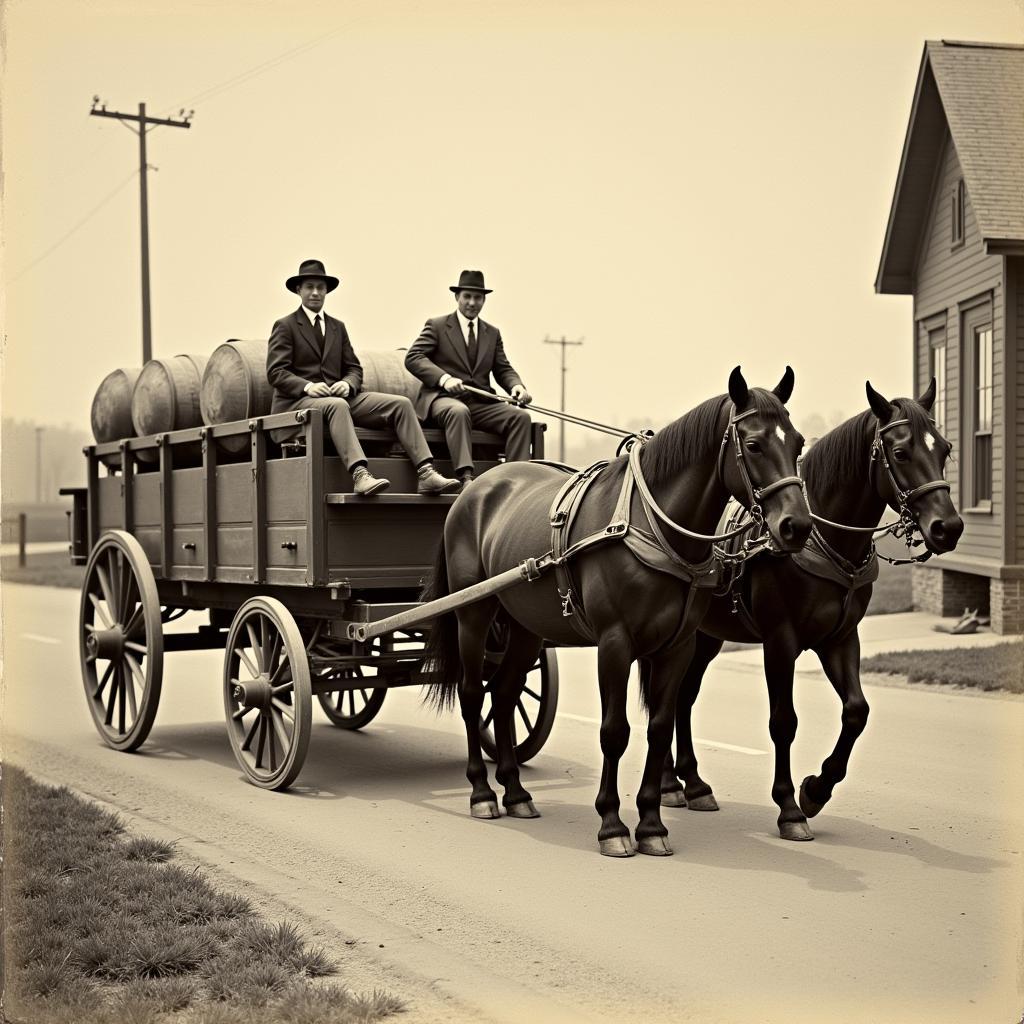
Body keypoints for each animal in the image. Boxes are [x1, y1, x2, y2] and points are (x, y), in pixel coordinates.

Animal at [421, 368, 806, 856]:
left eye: (798, 443)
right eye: (753, 444)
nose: (797, 526)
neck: (653, 525)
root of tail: (473, 489)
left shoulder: (677, 646)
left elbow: (659, 727)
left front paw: (652, 824)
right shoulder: (615, 643)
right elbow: (614, 731)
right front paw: (611, 823)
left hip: (526, 627)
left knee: (504, 695)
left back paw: (516, 791)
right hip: (474, 614)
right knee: (473, 696)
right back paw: (482, 792)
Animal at [659, 378, 962, 839]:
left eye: (944, 449)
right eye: (900, 452)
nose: (949, 527)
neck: (822, 535)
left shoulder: (840, 638)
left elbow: (856, 711)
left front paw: (816, 790)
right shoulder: (779, 641)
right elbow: (784, 721)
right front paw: (789, 807)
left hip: (706, 636)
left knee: (683, 696)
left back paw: (689, 783)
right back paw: (670, 784)